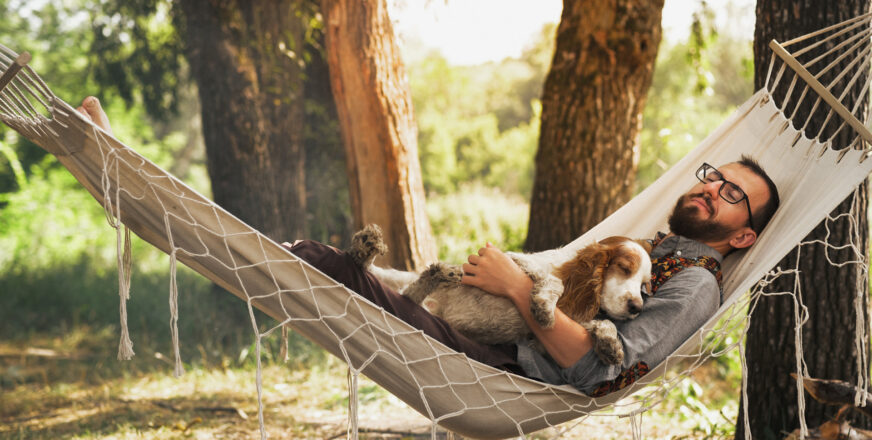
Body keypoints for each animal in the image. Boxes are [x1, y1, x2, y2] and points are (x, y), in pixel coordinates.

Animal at [350, 223, 652, 364]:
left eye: (644, 286)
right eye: (625, 268)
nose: (637, 307)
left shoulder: (541, 343)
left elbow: (604, 322)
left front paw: (610, 345)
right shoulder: (517, 260)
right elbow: (552, 283)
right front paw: (544, 308)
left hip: (416, 303)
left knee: (409, 293)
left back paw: (438, 272)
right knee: (377, 274)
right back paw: (366, 247)